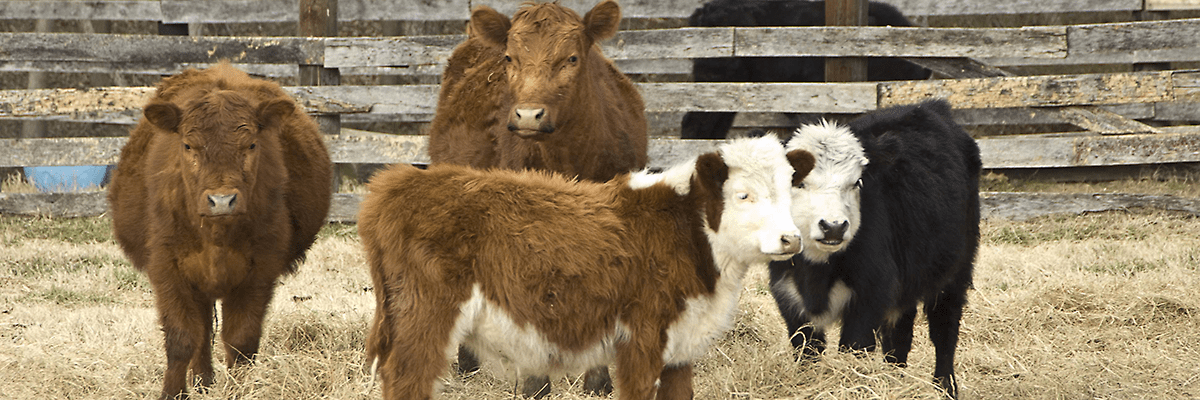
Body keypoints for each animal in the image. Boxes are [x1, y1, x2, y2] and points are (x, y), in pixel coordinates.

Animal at [107, 63, 333, 400]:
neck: (216, 237)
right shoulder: (167, 269)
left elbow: (240, 341)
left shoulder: (260, 272)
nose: (222, 200)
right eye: (188, 145)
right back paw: (201, 381)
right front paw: (173, 393)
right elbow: (182, 338)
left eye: (251, 144)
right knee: (200, 332)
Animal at [359, 134, 814, 400]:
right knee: (408, 381)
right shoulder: (641, 341)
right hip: (425, 319)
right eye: (743, 195)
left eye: (791, 188)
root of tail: (401, 182)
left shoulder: (679, 349)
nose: (790, 239)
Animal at [426, 1, 649, 395]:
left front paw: (598, 380)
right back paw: (467, 360)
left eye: (572, 58)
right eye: (510, 58)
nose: (528, 115)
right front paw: (535, 383)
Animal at [767, 99, 978, 398]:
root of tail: (931, 106)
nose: (833, 226)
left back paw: (945, 387)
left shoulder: (870, 295)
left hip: (955, 271)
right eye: (798, 182)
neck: (817, 273)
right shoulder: (789, 297)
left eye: (856, 182)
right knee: (899, 337)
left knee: (944, 330)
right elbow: (807, 351)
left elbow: (854, 348)